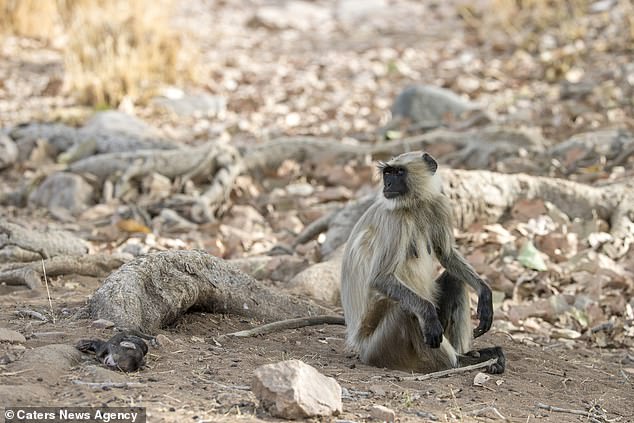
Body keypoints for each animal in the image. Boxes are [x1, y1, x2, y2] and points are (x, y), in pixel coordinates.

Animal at [340, 152, 504, 374]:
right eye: (387, 173)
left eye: (399, 172)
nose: (388, 184)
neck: (414, 205)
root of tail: (359, 347)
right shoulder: (395, 219)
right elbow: (380, 278)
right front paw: (428, 315)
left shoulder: (438, 205)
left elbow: (446, 254)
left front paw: (485, 293)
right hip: (379, 346)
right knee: (408, 309)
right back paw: (461, 362)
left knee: (455, 280)